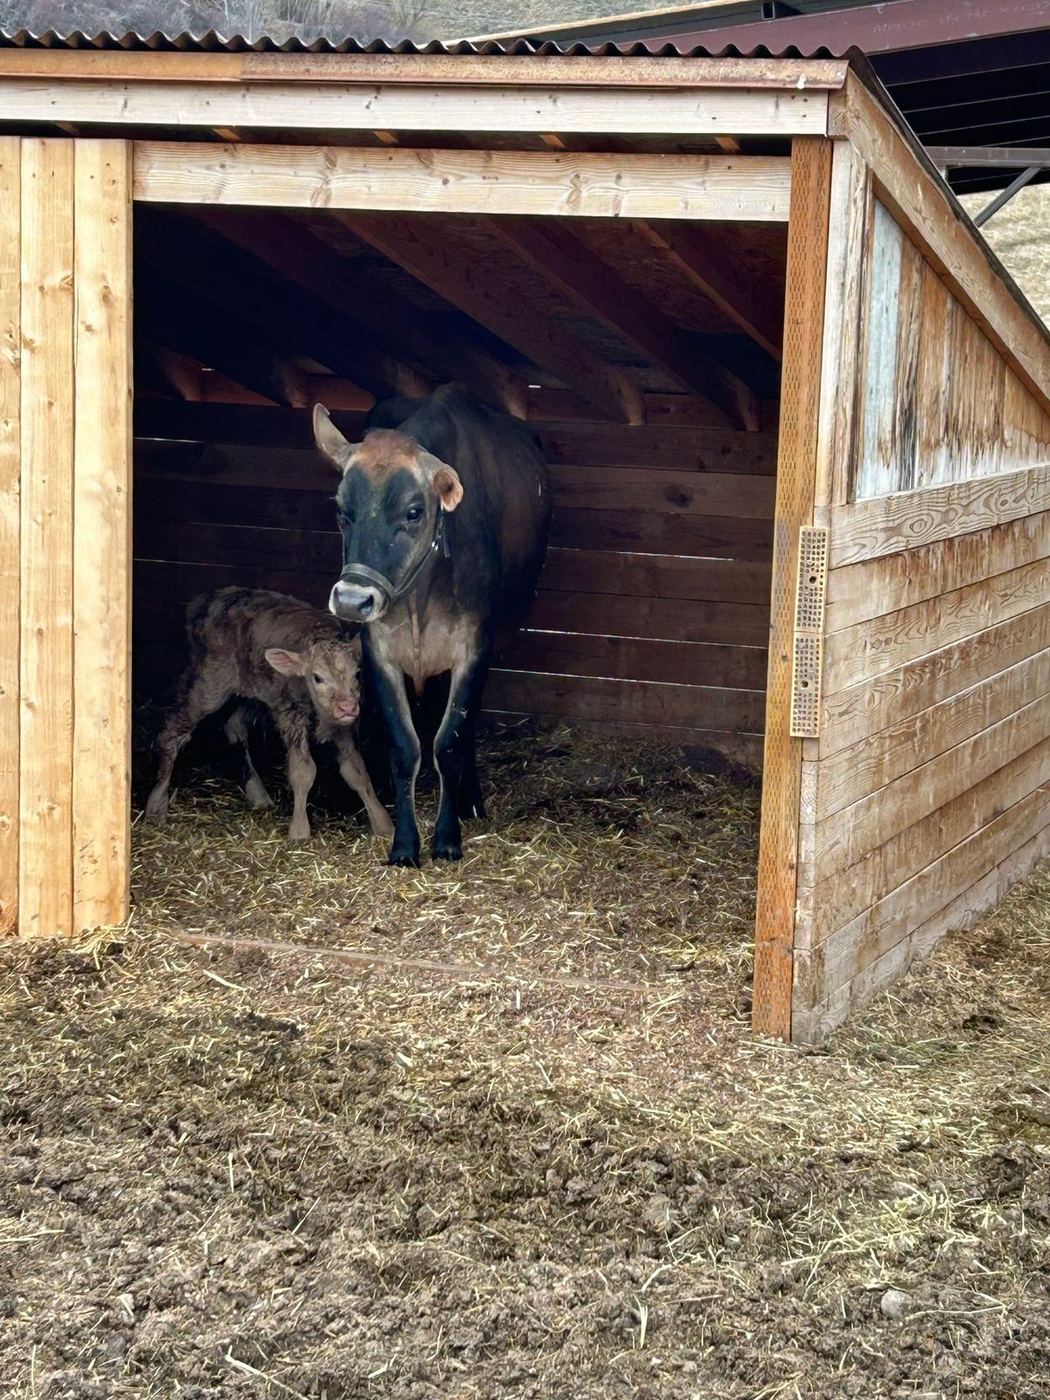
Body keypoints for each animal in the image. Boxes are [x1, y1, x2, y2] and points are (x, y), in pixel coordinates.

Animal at [144, 587, 393, 842]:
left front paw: (383, 824)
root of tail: (207, 598)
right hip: (210, 682)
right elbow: (303, 770)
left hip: (255, 692)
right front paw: (299, 830)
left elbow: (357, 772)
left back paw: (257, 793)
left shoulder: (344, 727)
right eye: (317, 677)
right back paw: (156, 804)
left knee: (234, 726)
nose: (347, 707)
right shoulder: (290, 715)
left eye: (357, 674)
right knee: (173, 731)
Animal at [313, 383, 551, 866]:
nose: (352, 600)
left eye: (413, 511)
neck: (420, 601)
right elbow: (406, 747)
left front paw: (447, 836)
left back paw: (470, 801)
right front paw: (405, 844)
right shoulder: (380, 652)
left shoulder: (475, 648)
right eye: (342, 512)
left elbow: (451, 740)